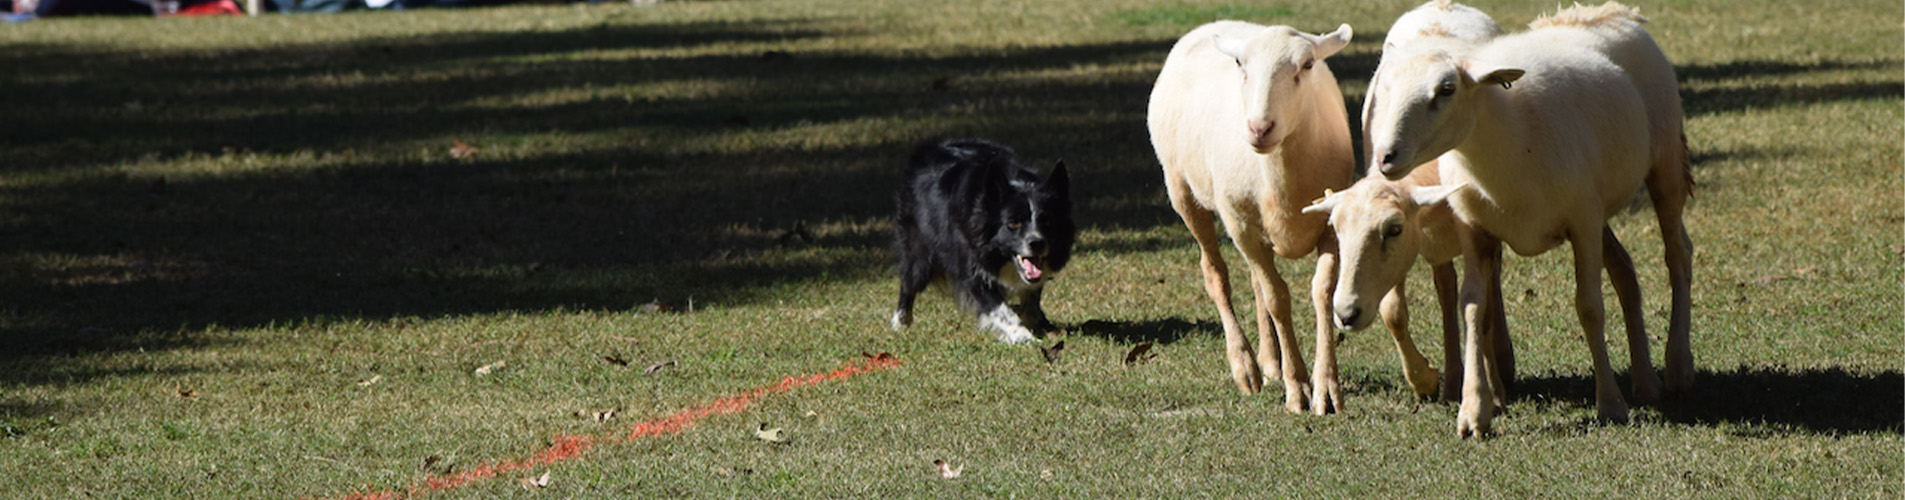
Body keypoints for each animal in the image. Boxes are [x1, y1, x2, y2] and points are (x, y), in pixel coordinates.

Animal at [891, 139, 1074, 343]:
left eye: (1047, 221)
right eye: (1013, 223)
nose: (1037, 244)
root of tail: (927, 150)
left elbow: (1031, 300)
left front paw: (1041, 325)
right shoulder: (972, 267)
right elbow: (1002, 310)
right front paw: (1024, 337)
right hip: (919, 251)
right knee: (909, 282)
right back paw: (900, 322)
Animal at [1150, 20, 1363, 414]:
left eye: (1307, 64)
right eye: (1240, 64)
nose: (1259, 128)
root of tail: (1213, 25)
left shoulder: (1331, 223)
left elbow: (1322, 291)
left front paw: (1326, 387)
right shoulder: (1242, 227)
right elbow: (1278, 298)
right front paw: (1298, 389)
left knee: (1255, 281)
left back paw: (1269, 361)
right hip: (1182, 190)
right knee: (1217, 275)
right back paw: (1246, 366)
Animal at [1363, 1, 1691, 435]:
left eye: (1446, 90)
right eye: (1388, 89)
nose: (1385, 156)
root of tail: (1613, 13)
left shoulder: (1582, 221)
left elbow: (1589, 306)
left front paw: (1610, 404)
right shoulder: (1475, 229)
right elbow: (1473, 307)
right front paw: (1474, 411)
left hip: (1665, 161)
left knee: (1678, 254)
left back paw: (1678, 366)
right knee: (1624, 268)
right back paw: (1646, 381)